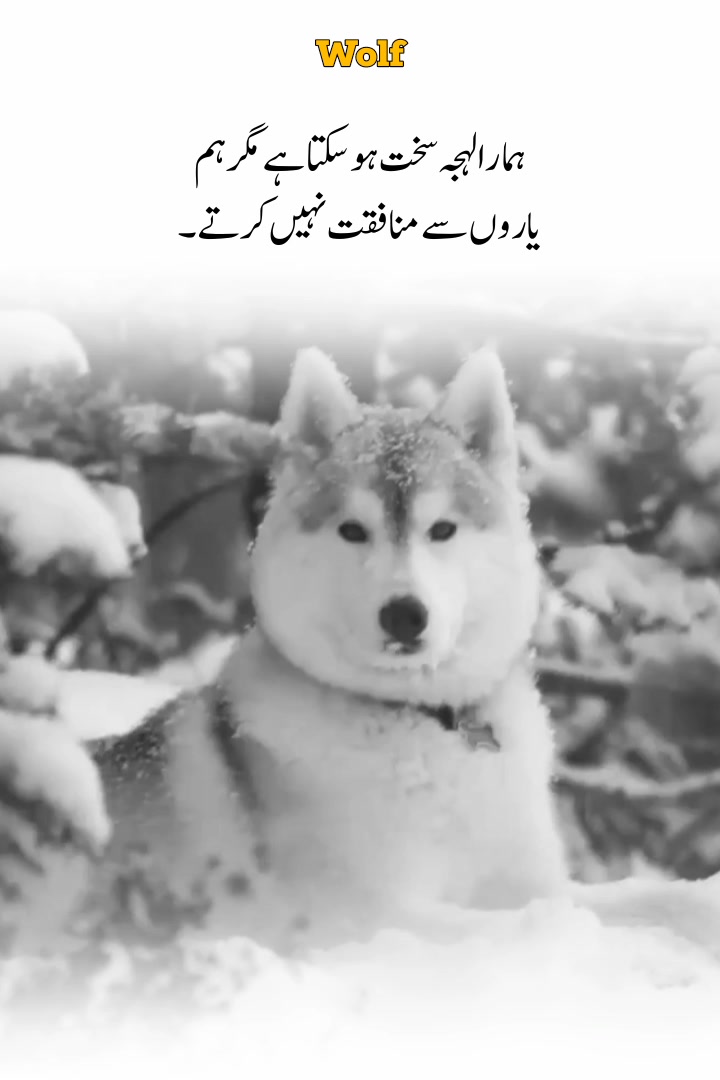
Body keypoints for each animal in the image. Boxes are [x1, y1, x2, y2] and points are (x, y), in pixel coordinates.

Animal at [0, 348, 571, 951]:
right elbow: (511, 922)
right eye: (353, 530)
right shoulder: (365, 911)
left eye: (443, 529)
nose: (404, 614)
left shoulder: (529, 871)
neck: (419, 722)